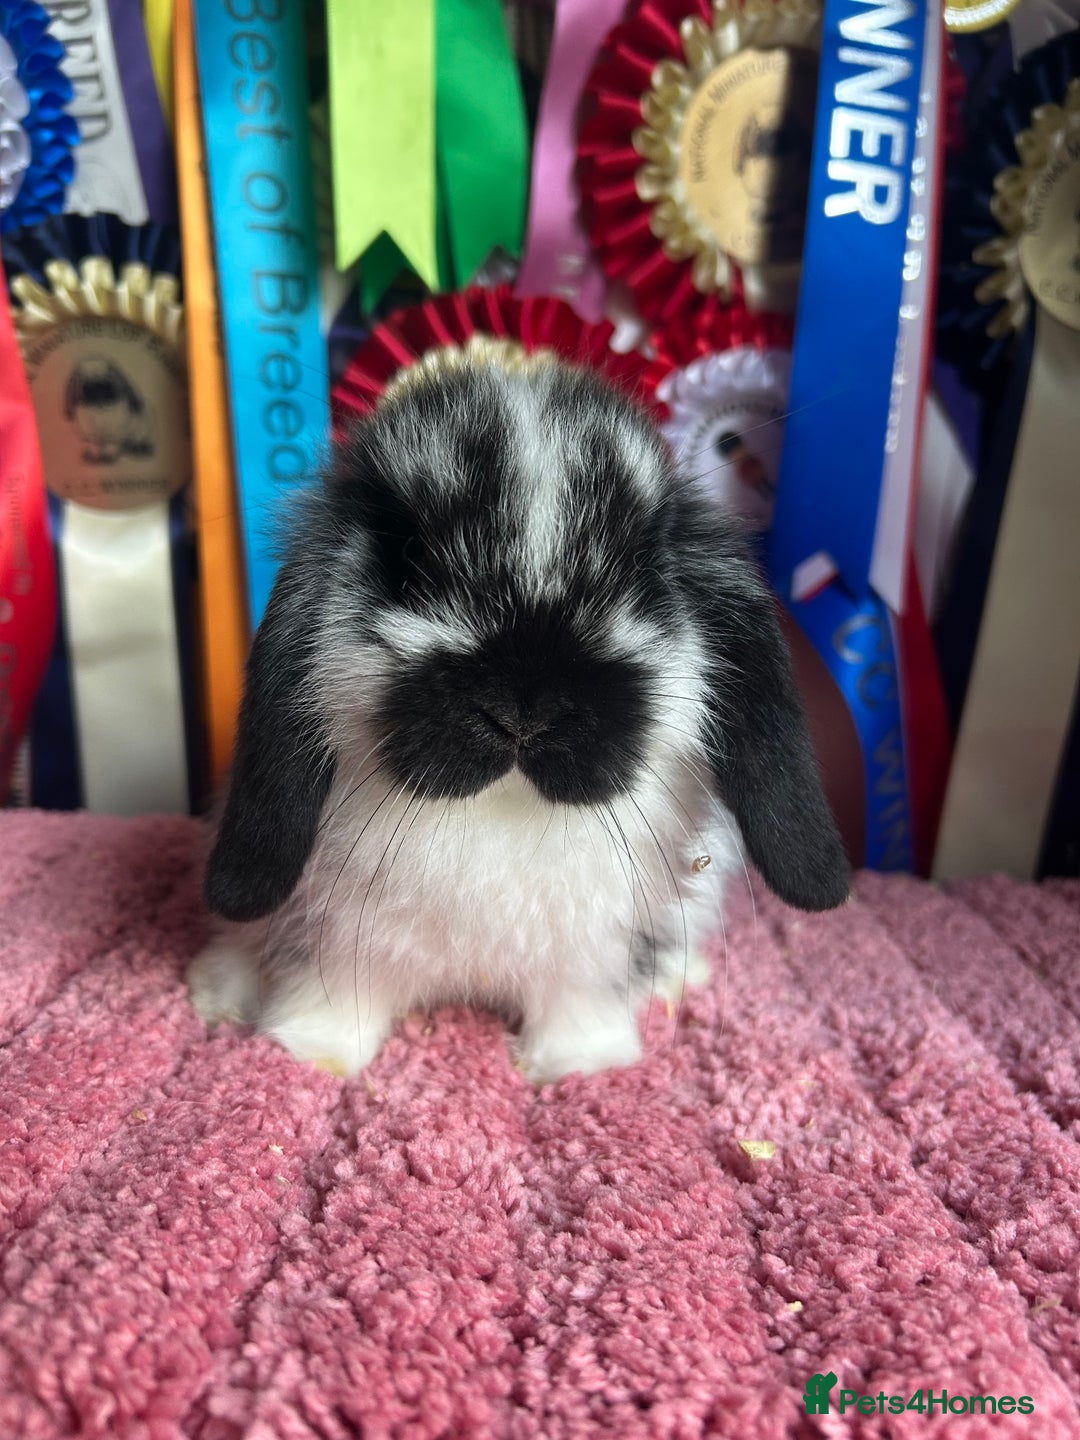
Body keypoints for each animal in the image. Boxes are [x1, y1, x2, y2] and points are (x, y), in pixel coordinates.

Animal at [187, 355, 849, 1083]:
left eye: (641, 568)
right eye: (409, 556)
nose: (522, 711)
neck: (501, 808)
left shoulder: (592, 958)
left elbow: (578, 1008)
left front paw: (578, 1067)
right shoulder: (332, 939)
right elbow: (330, 995)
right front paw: (313, 1053)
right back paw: (216, 990)